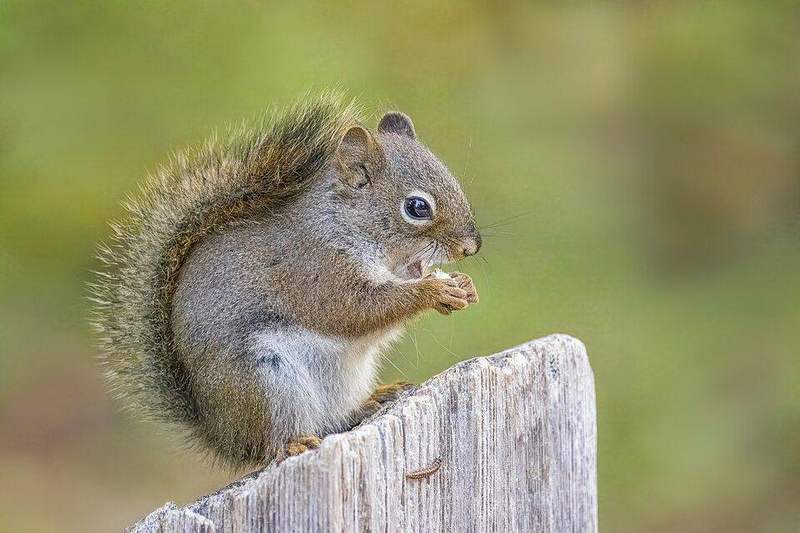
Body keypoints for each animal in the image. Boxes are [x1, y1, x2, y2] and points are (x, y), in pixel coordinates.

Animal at [90, 94, 481, 469]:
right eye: (417, 207)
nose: (472, 246)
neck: (347, 224)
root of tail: (224, 435)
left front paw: (463, 285)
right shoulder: (316, 270)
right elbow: (356, 311)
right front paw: (434, 290)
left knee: (335, 420)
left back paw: (372, 399)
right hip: (267, 382)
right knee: (273, 442)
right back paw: (293, 443)